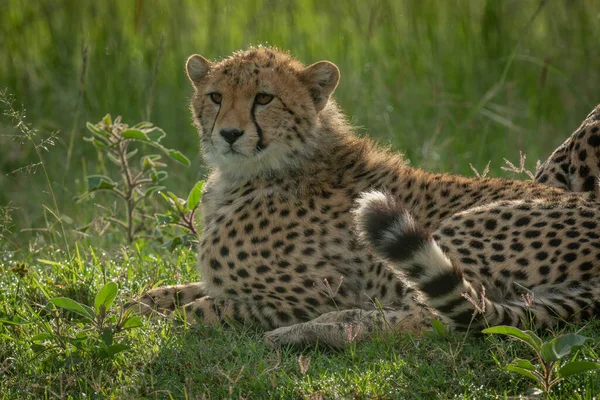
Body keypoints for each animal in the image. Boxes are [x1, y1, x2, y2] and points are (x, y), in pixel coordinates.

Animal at [135, 46, 600, 346]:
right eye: (215, 97)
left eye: (263, 97)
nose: (229, 134)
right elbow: (171, 292)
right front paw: (136, 305)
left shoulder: (323, 291)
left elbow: (204, 309)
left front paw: (152, 321)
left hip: (458, 231)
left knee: (446, 320)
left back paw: (308, 333)